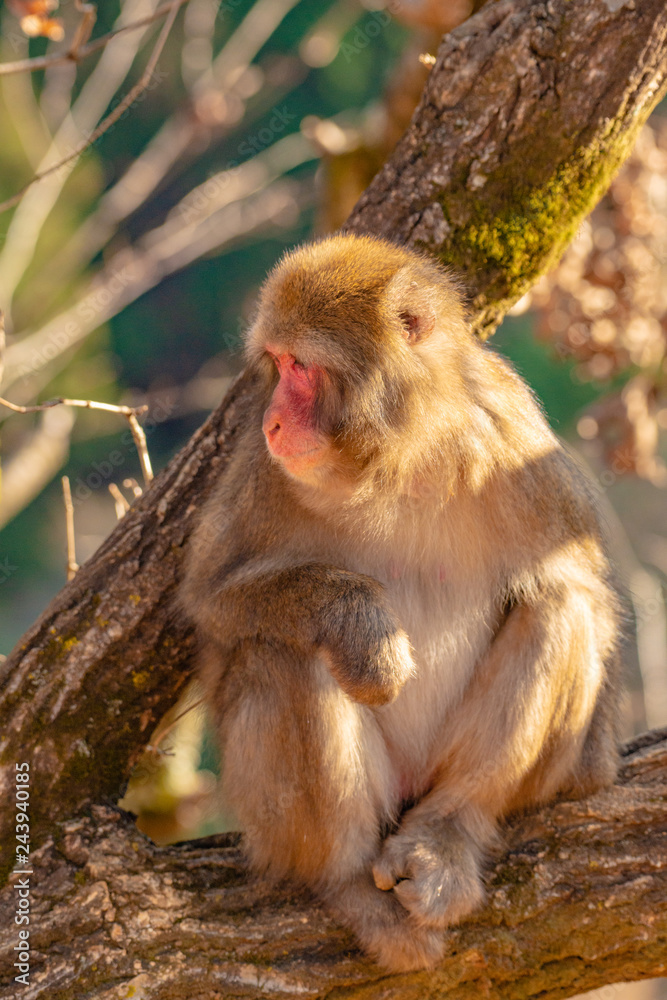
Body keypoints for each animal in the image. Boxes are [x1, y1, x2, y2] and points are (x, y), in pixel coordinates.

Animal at [180, 233, 621, 972]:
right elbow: (210, 600)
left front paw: (593, 760)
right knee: (284, 655)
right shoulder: (264, 474)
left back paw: (447, 833)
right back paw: (348, 881)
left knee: (556, 604)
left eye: (302, 366)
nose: (272, 418)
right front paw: (361, 624)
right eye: (277, 364)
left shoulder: (512, 438)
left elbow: (584, 586)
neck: (397, 458)